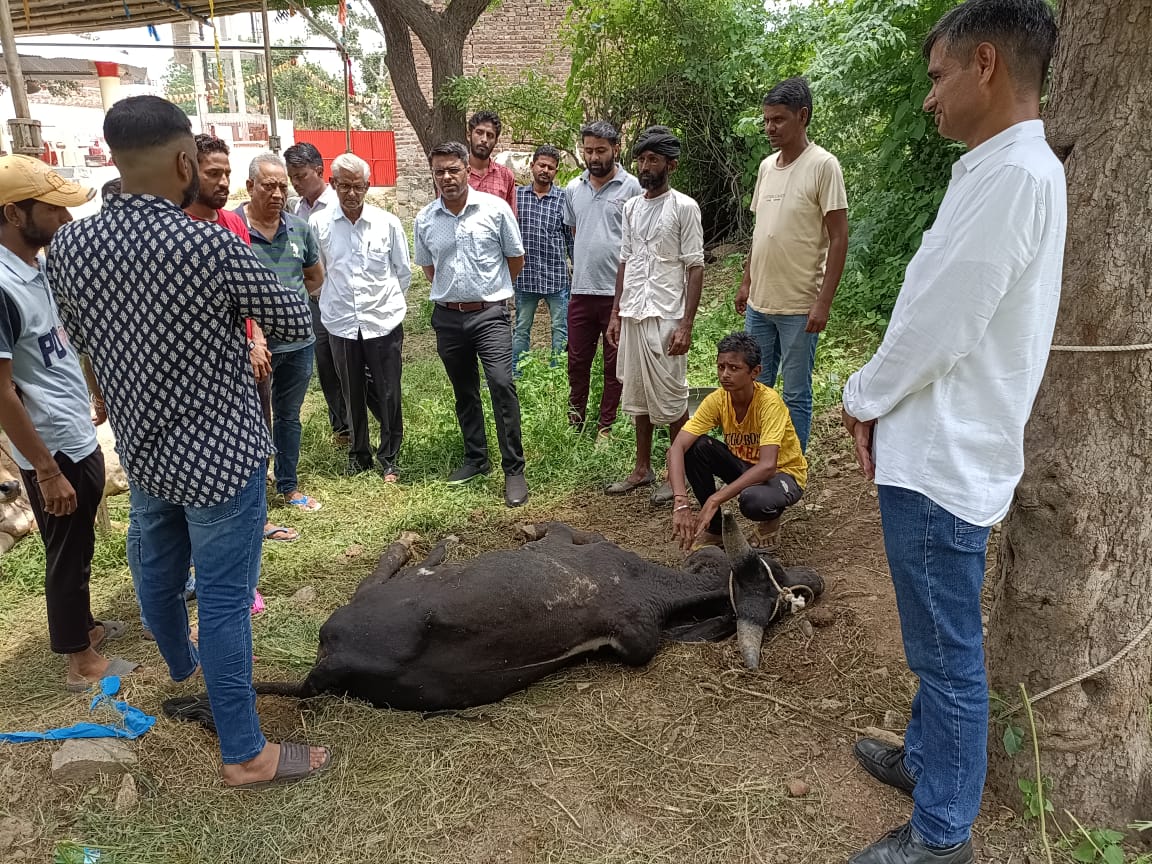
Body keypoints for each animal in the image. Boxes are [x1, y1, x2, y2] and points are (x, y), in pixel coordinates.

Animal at [251, 518, 824, 714]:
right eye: (771, 562)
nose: (814, 583)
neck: (646, 587)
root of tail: (325, 668)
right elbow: (552, 528)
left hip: (361, 605)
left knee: (385, 572)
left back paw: (424, 545)